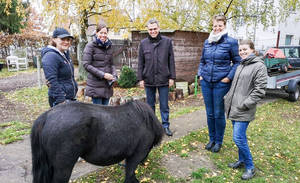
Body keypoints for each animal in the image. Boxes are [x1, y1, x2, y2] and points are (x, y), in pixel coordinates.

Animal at [31, 101, 163, 182]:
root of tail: (46, 116)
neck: (147, 122)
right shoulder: (135, 156)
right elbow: (130, 175)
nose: (143, 162)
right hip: (63, 168)